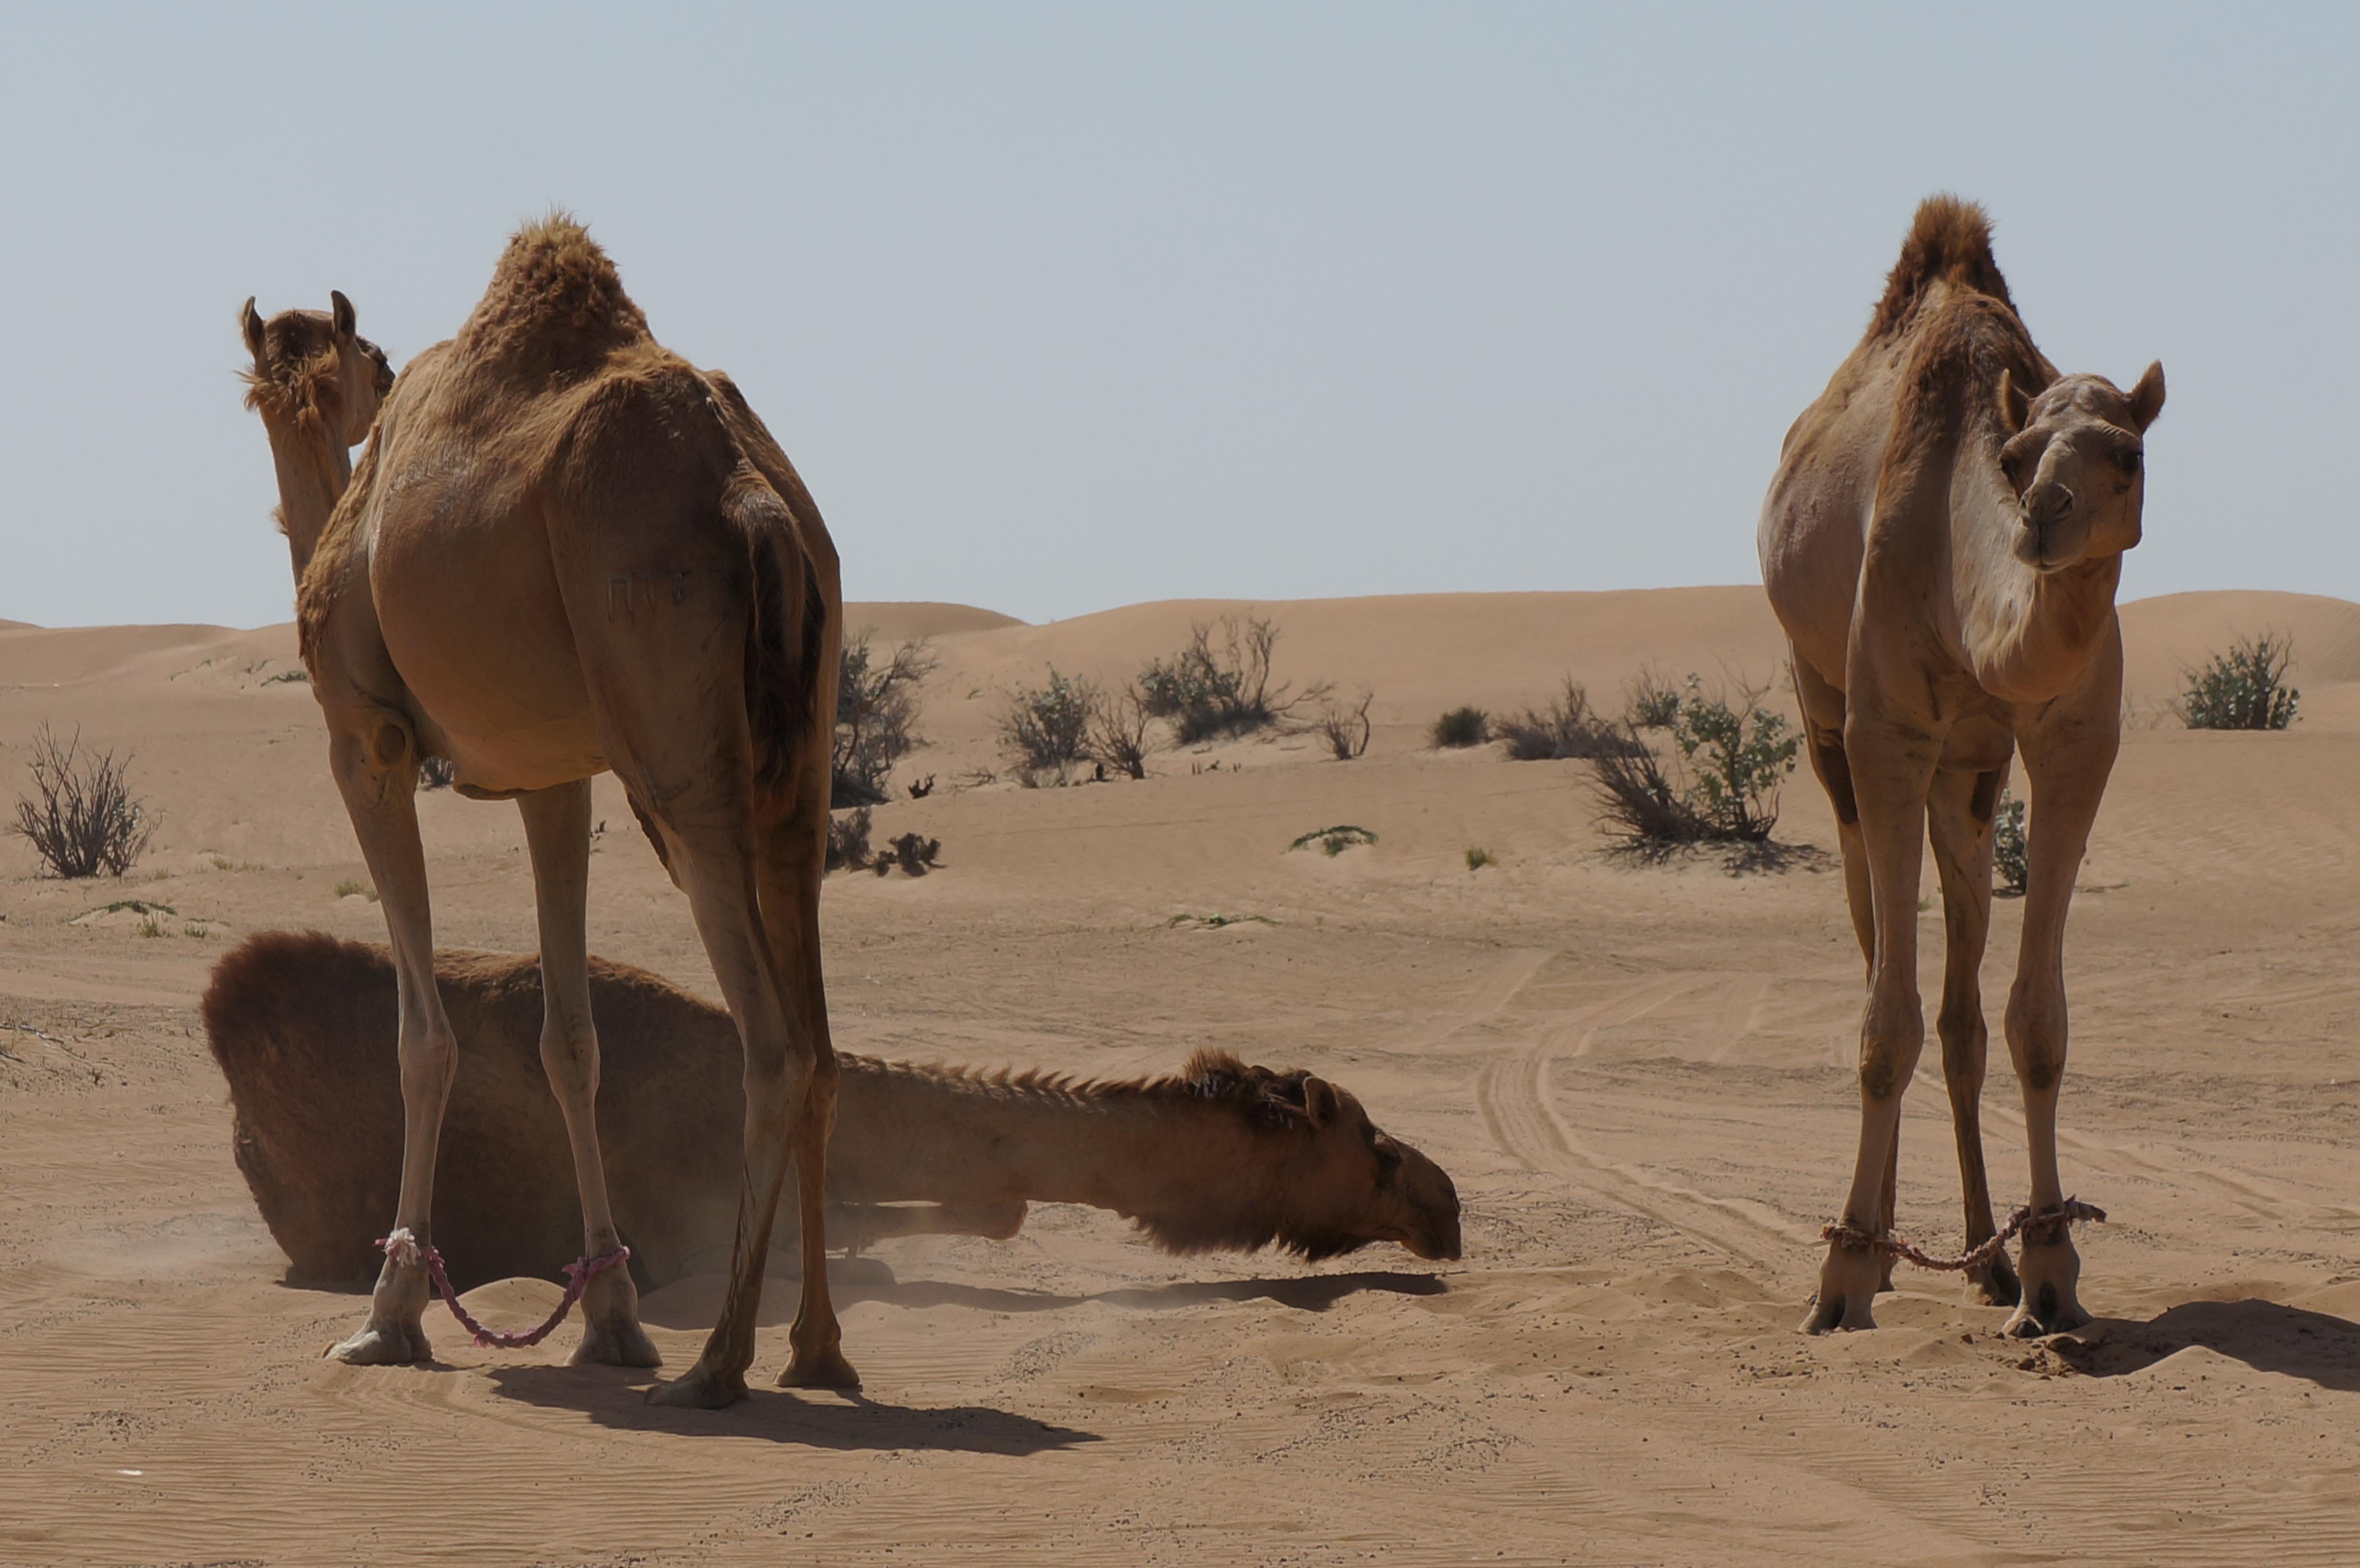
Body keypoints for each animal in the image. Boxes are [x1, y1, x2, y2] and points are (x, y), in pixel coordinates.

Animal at [239, 211, 863, 1407]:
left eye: (371, 363)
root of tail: (755, 497)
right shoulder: (552, 777)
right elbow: (570, 1041)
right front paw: (609, 1317)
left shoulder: (368, 743)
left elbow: (421, 1037)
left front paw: (390, 1311)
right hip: (800, 760)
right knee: (821, 1039)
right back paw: (816, 1349)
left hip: (670, 743)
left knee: (773, 1047)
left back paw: (718, 1361)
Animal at [1765, 190, 2162, 1332]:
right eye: (2019, 453)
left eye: (2126, 455)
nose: (2043, 518)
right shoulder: (1886, 731)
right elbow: (1881, 1024)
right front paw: (1839, 1276)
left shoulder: (2074, 740)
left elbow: (2034, 1021)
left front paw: (2050, 1269)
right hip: (1824, 714)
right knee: (1873, 952)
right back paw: (1883, 1247)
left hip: (1971, 776)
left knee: (1959, 1015)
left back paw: (1983, 1261)